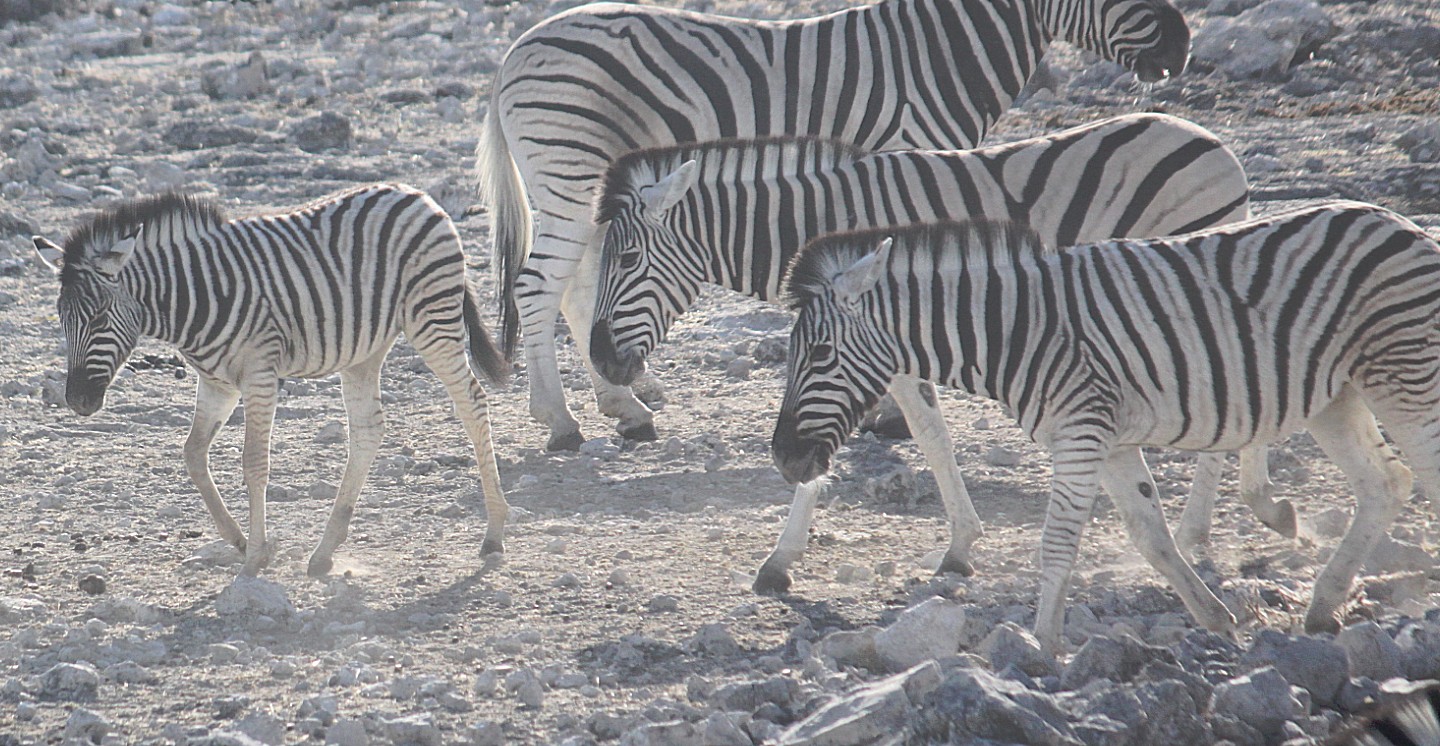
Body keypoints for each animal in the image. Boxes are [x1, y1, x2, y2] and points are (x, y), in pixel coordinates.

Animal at [29, 185, 518, 578]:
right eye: (62, 320)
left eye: (97, 319)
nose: (78, 401)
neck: (191, 297)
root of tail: (418, 195)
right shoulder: (217, 383)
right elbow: (192, 454)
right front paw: (242, 540)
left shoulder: (259, 374)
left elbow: (253, 463)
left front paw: (253, 558)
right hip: (365, 349)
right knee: (368, 429)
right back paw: (325, 550)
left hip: (431, 318)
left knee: (472, 402)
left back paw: (494, 532)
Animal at [480, 0, 1192, 452]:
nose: (1182, 42)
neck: (940, 49)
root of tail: (512, 52)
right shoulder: (909, 155)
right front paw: (890, 411)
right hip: (570, 170)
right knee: (537, 287)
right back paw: (561, 421)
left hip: (583, 185)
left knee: (573, 288)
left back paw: (626, 406)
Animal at [584, 112, 1296, 590]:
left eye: (627, 258)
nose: (602, 363)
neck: (812, 227)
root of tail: (1215, 142)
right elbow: (914, 433)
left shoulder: (880, 342)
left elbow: (925, 435)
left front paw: (785, 559)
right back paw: (1249, 510)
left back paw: (1203, 529)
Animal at [777, 205, 1440, 656]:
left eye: (821, 354)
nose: (785, 461)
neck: (1015, 328)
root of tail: (1404, 223)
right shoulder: (1112, 442)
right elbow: (1152, 536)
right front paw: (1215, 618)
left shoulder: (1079, 432)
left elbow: (1057, 542)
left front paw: (1041, 645)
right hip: (1337, 397)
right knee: (1386, 484)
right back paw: (1324, 606)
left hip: (1402, 377)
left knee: (1417, 474)